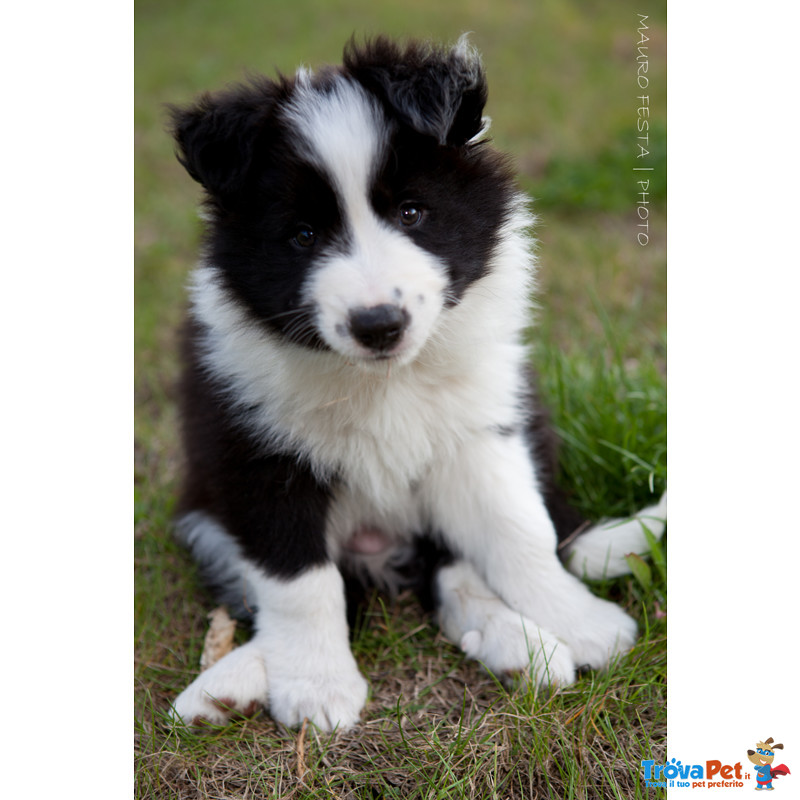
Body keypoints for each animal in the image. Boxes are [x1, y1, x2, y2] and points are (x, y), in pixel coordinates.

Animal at [166, 36, 664, 732]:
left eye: (412, 212)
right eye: (302, 235)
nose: (378, 323)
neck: (384, 380)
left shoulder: (480, 430)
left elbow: (519, 532)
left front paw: (581, 621)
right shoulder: (252, 451)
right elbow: (298, 579)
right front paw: (317, 685)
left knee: (465, 565)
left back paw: (525, 645)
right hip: (204, 517)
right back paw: (226, 684)